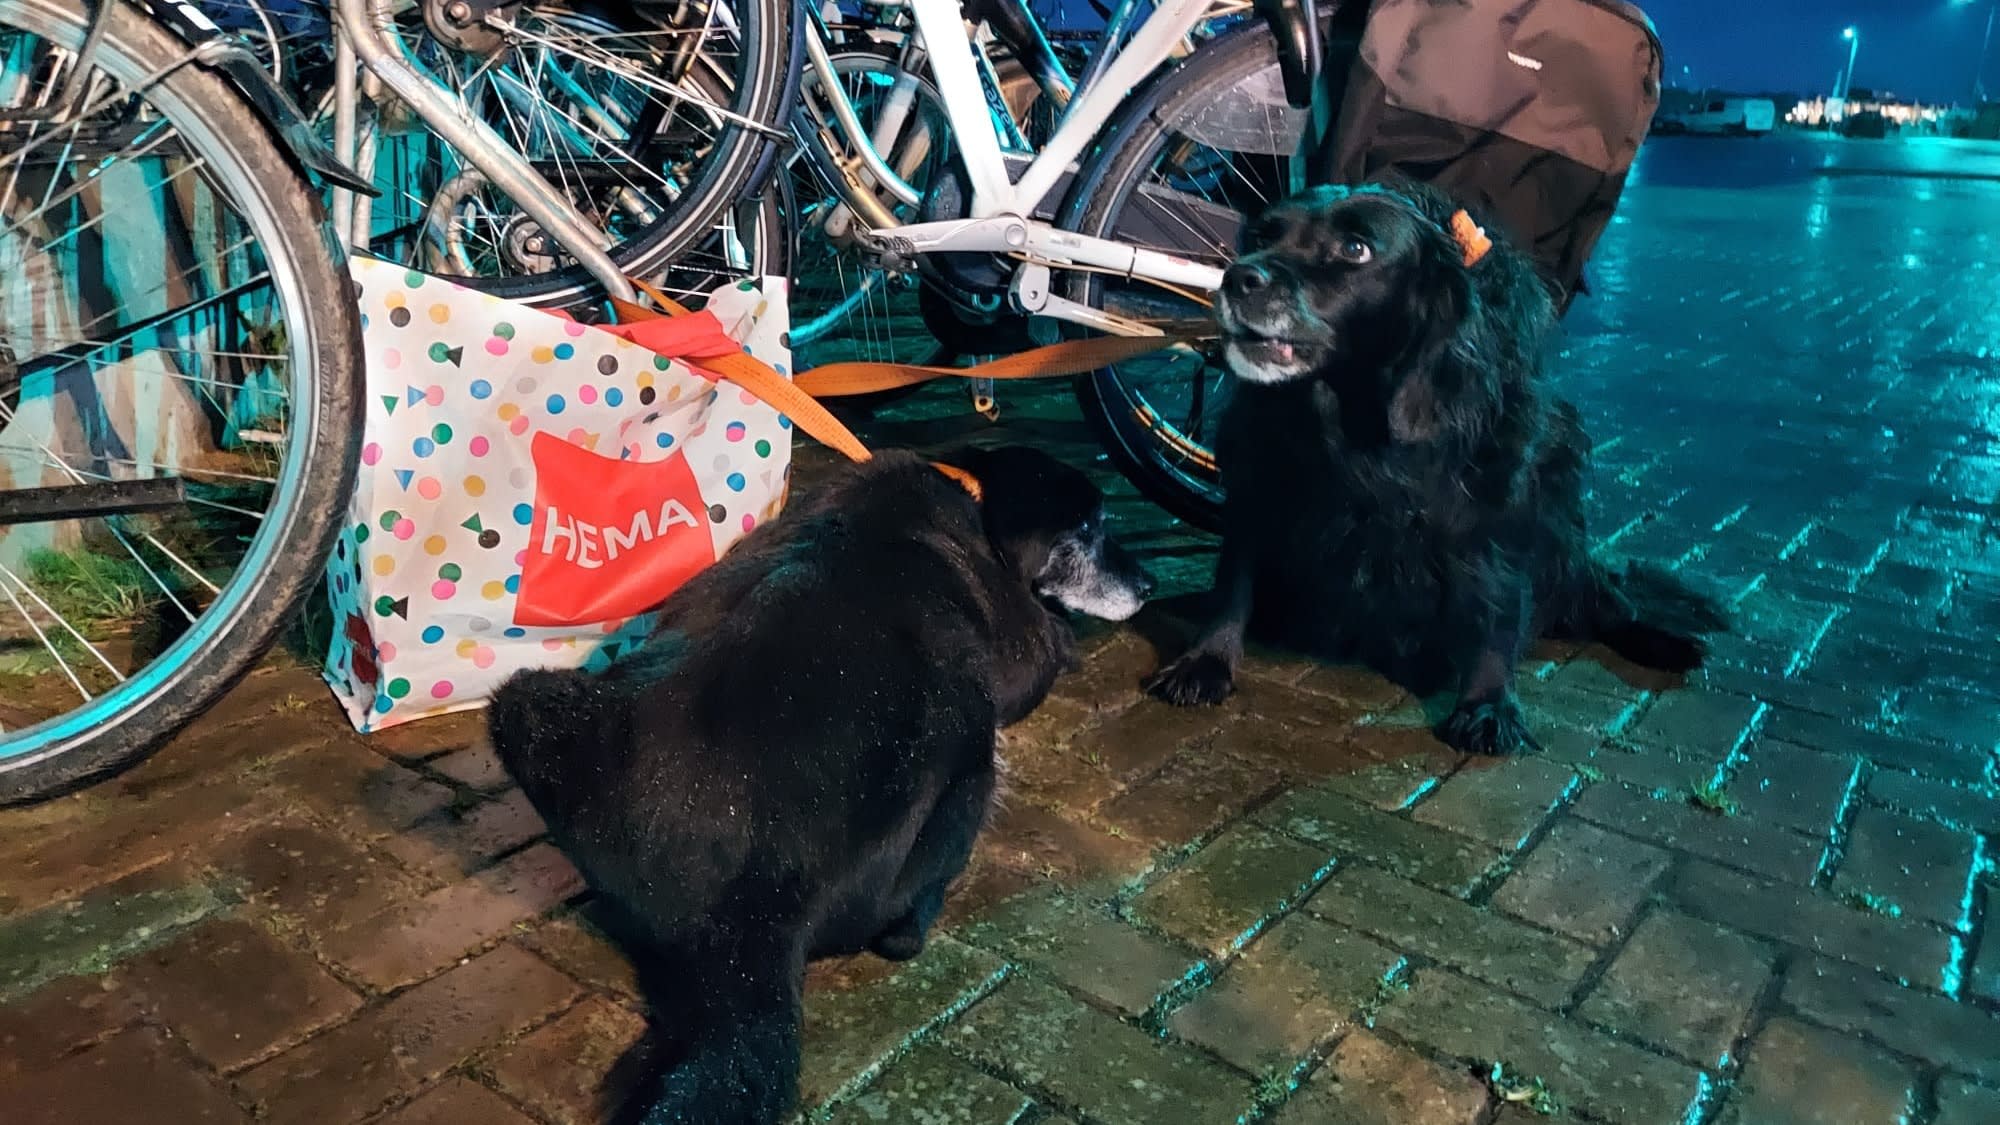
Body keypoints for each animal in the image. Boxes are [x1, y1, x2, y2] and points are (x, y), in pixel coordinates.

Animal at [484, 446, 1152, 1120]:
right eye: (1089, 529)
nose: (1151, 586)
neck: (971, 493)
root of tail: (752, 913)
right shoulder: (1024, 653)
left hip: (527, 707)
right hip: (970, 755)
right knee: (906, 931)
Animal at [1152, 184, 1728, 752]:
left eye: (1356, 249)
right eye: (1263, 236)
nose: (1238, 276)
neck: (1352, 413)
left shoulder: (1496, 499)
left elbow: (1497, 602)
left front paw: (1488, 704)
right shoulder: (1258, 475)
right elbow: (1235, 578)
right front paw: (1206, 660)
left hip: (1563, 522)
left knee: (1604, 599)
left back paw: (1662, 640)